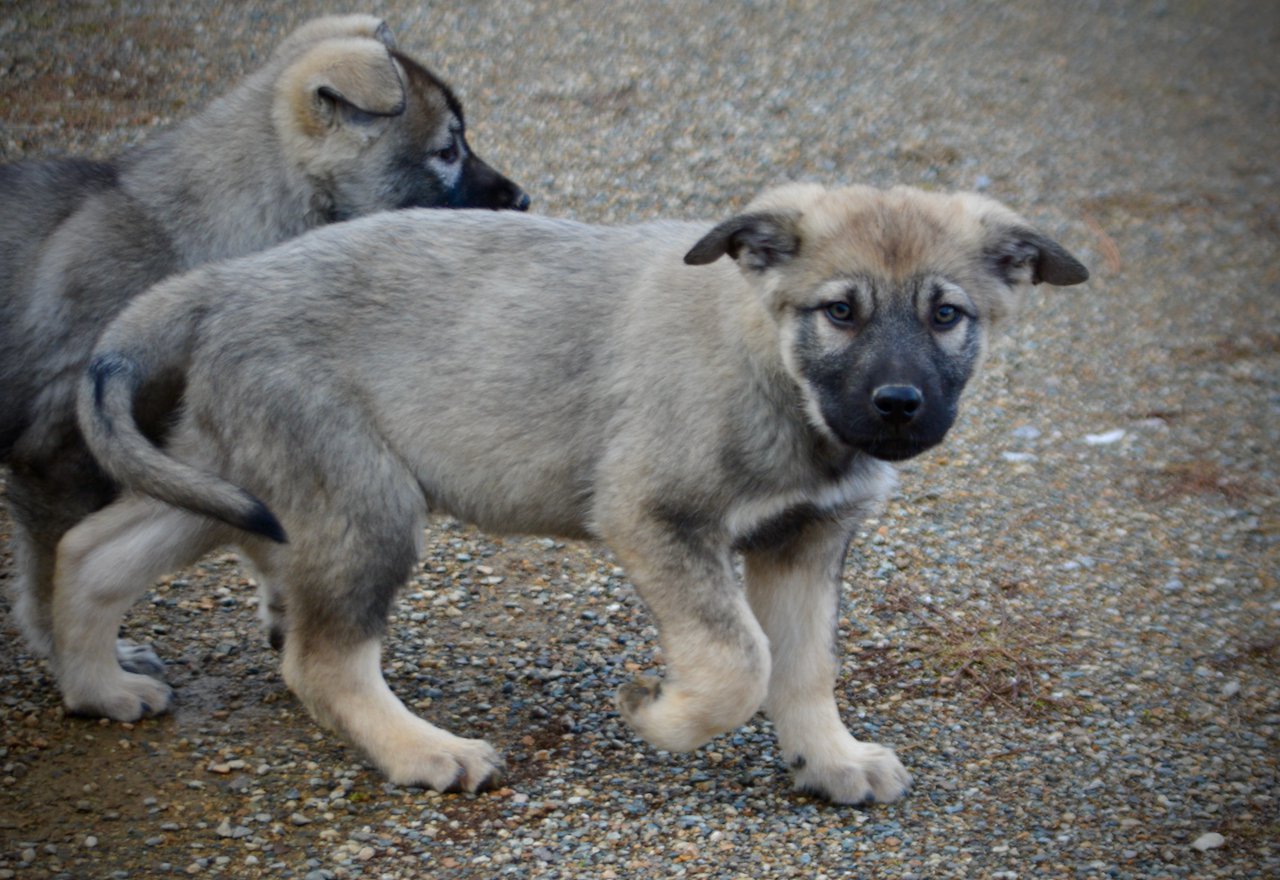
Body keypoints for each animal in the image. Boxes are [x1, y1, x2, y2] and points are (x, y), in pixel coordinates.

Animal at [0, 15, 529, 665]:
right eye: (446, 152)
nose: (525, 200)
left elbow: (264, 534)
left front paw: (282, 609)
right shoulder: (59, 459)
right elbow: (50, 570)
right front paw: (78, 655)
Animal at [60, 185, 1085, 803]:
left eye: (946, 315)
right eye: (840, 312)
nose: (899, 407)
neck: (770, 365)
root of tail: (221, 282)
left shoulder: (807, 540)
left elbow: (804, 665)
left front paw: (827, 760)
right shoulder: (656, 515)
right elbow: (739, 660)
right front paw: (660, 714)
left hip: (232, 480)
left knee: (90, 553)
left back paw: (97, 687)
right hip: (360, 503)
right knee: (321, 658)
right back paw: (423, 751)